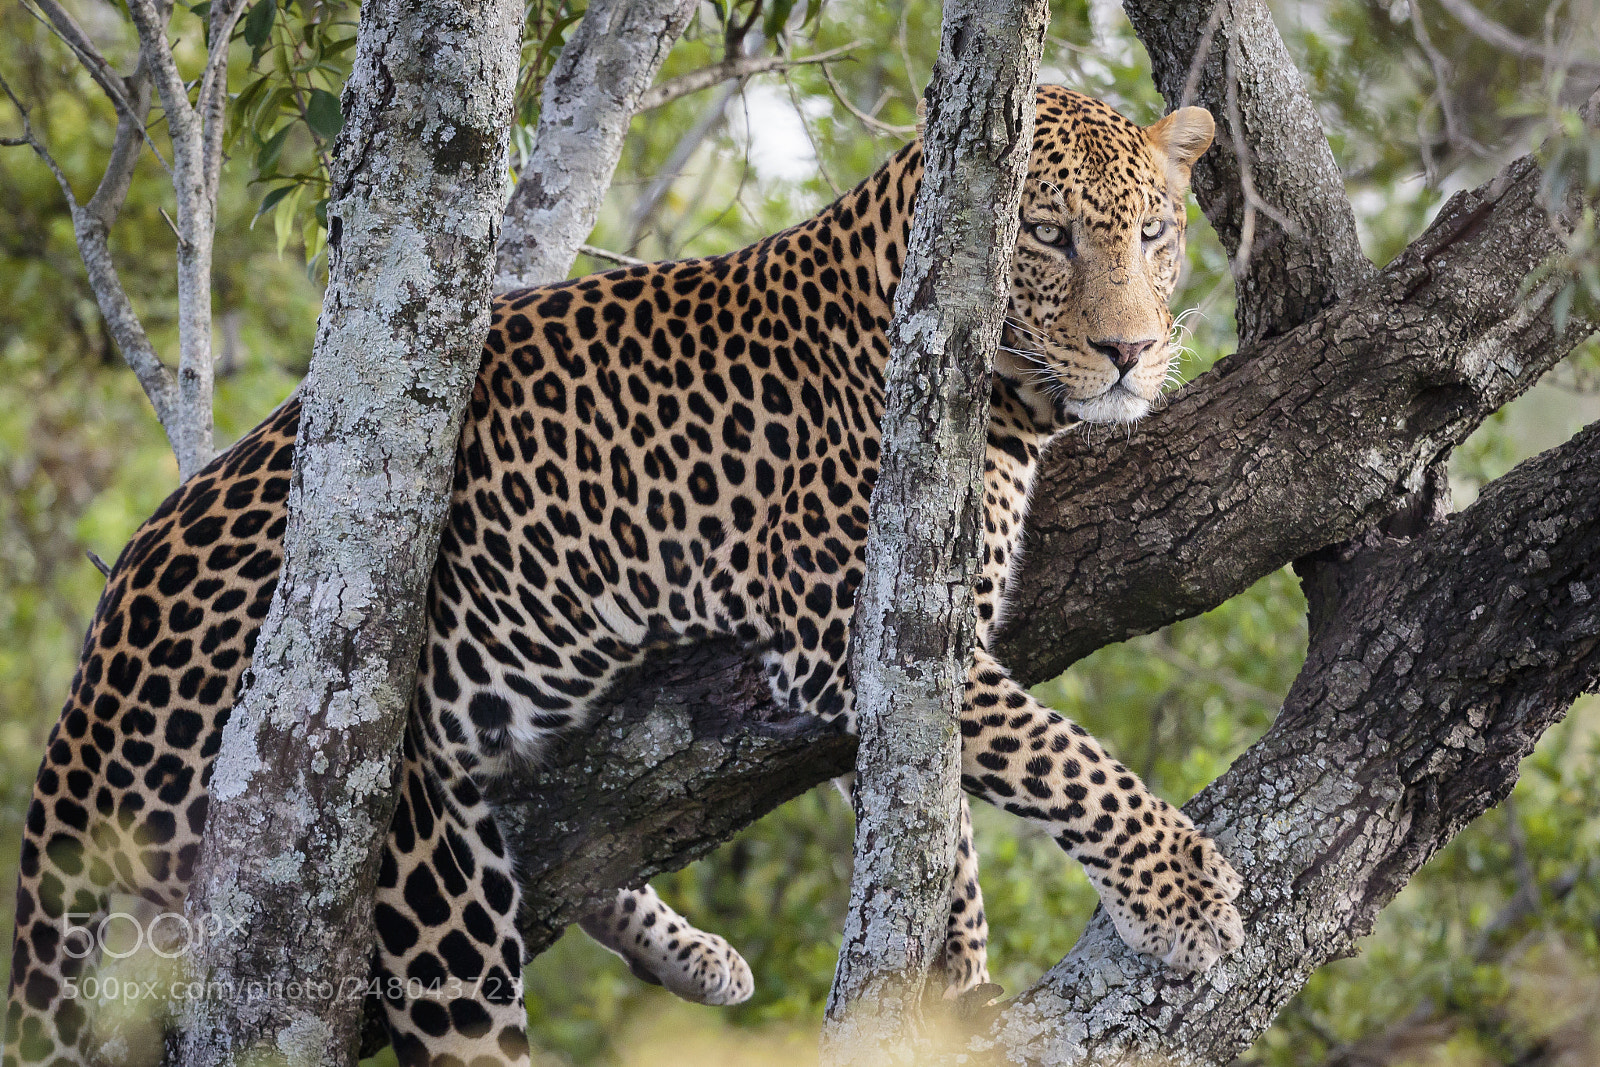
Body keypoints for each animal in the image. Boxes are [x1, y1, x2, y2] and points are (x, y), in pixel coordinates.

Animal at [4, 85, 1241, 1067]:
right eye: (1046, 233)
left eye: (1152, 232)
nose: (1132, 351)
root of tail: (76, 728)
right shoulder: (860, 630)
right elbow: (1060, 757)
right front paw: (1184, 892)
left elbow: (939, 835)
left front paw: (956, 984)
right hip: (393, 835)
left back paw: (693, 953)